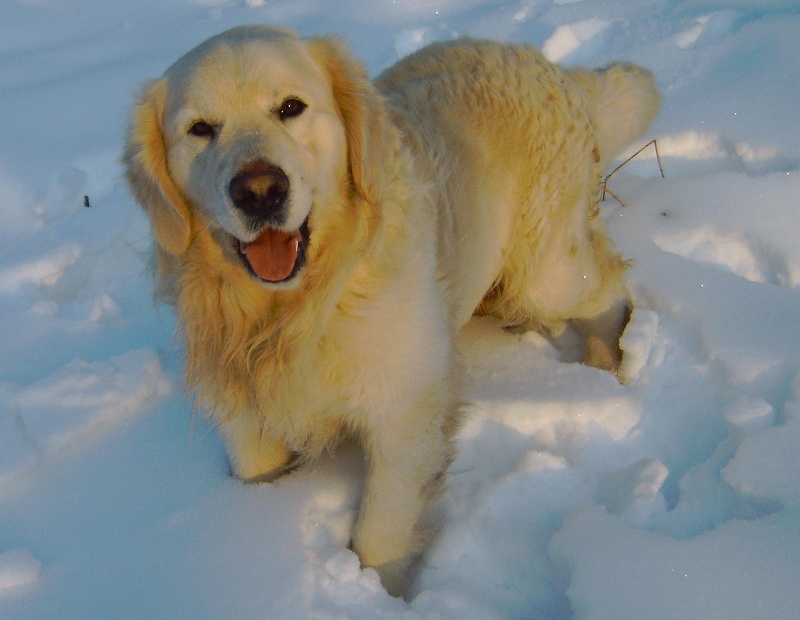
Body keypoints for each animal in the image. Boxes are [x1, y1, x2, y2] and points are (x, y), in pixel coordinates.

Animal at [125, 25, 660, 596]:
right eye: (200, 129)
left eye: (291, 107)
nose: (260, 191)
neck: (305, 306)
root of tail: (548, 65)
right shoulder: (246, 416)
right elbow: (259, 472)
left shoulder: (404, 405)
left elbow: (380, 531)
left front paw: (374, 588)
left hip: (548, 271)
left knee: (609, 289)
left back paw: (606, 367)